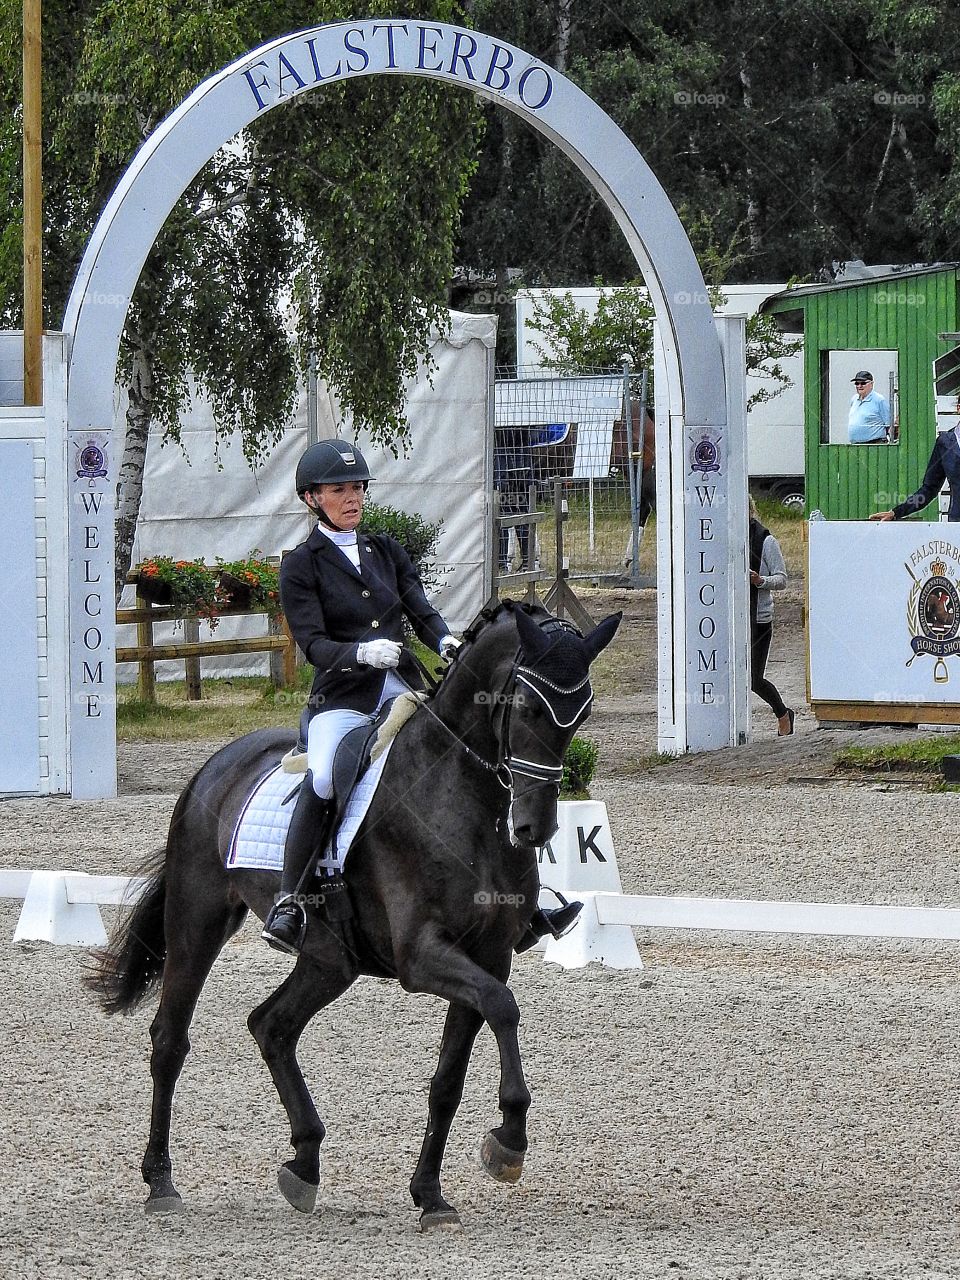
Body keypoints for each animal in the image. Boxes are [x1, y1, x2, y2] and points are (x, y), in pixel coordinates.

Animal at [87, 599, 621, 1229]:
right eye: (526, 706)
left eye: (582, 712)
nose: (534, 829)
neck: (461, 797)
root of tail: (214, 767)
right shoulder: (422, 957)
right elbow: (503, 1007)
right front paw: (509, 1140)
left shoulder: (487, 955)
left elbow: (450, 1076)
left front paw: (431, 1195)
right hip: (198, 920)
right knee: (171, 1038)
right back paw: (161, 1182)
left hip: (330, 959)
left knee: (271, 1025)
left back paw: (304, 1165)